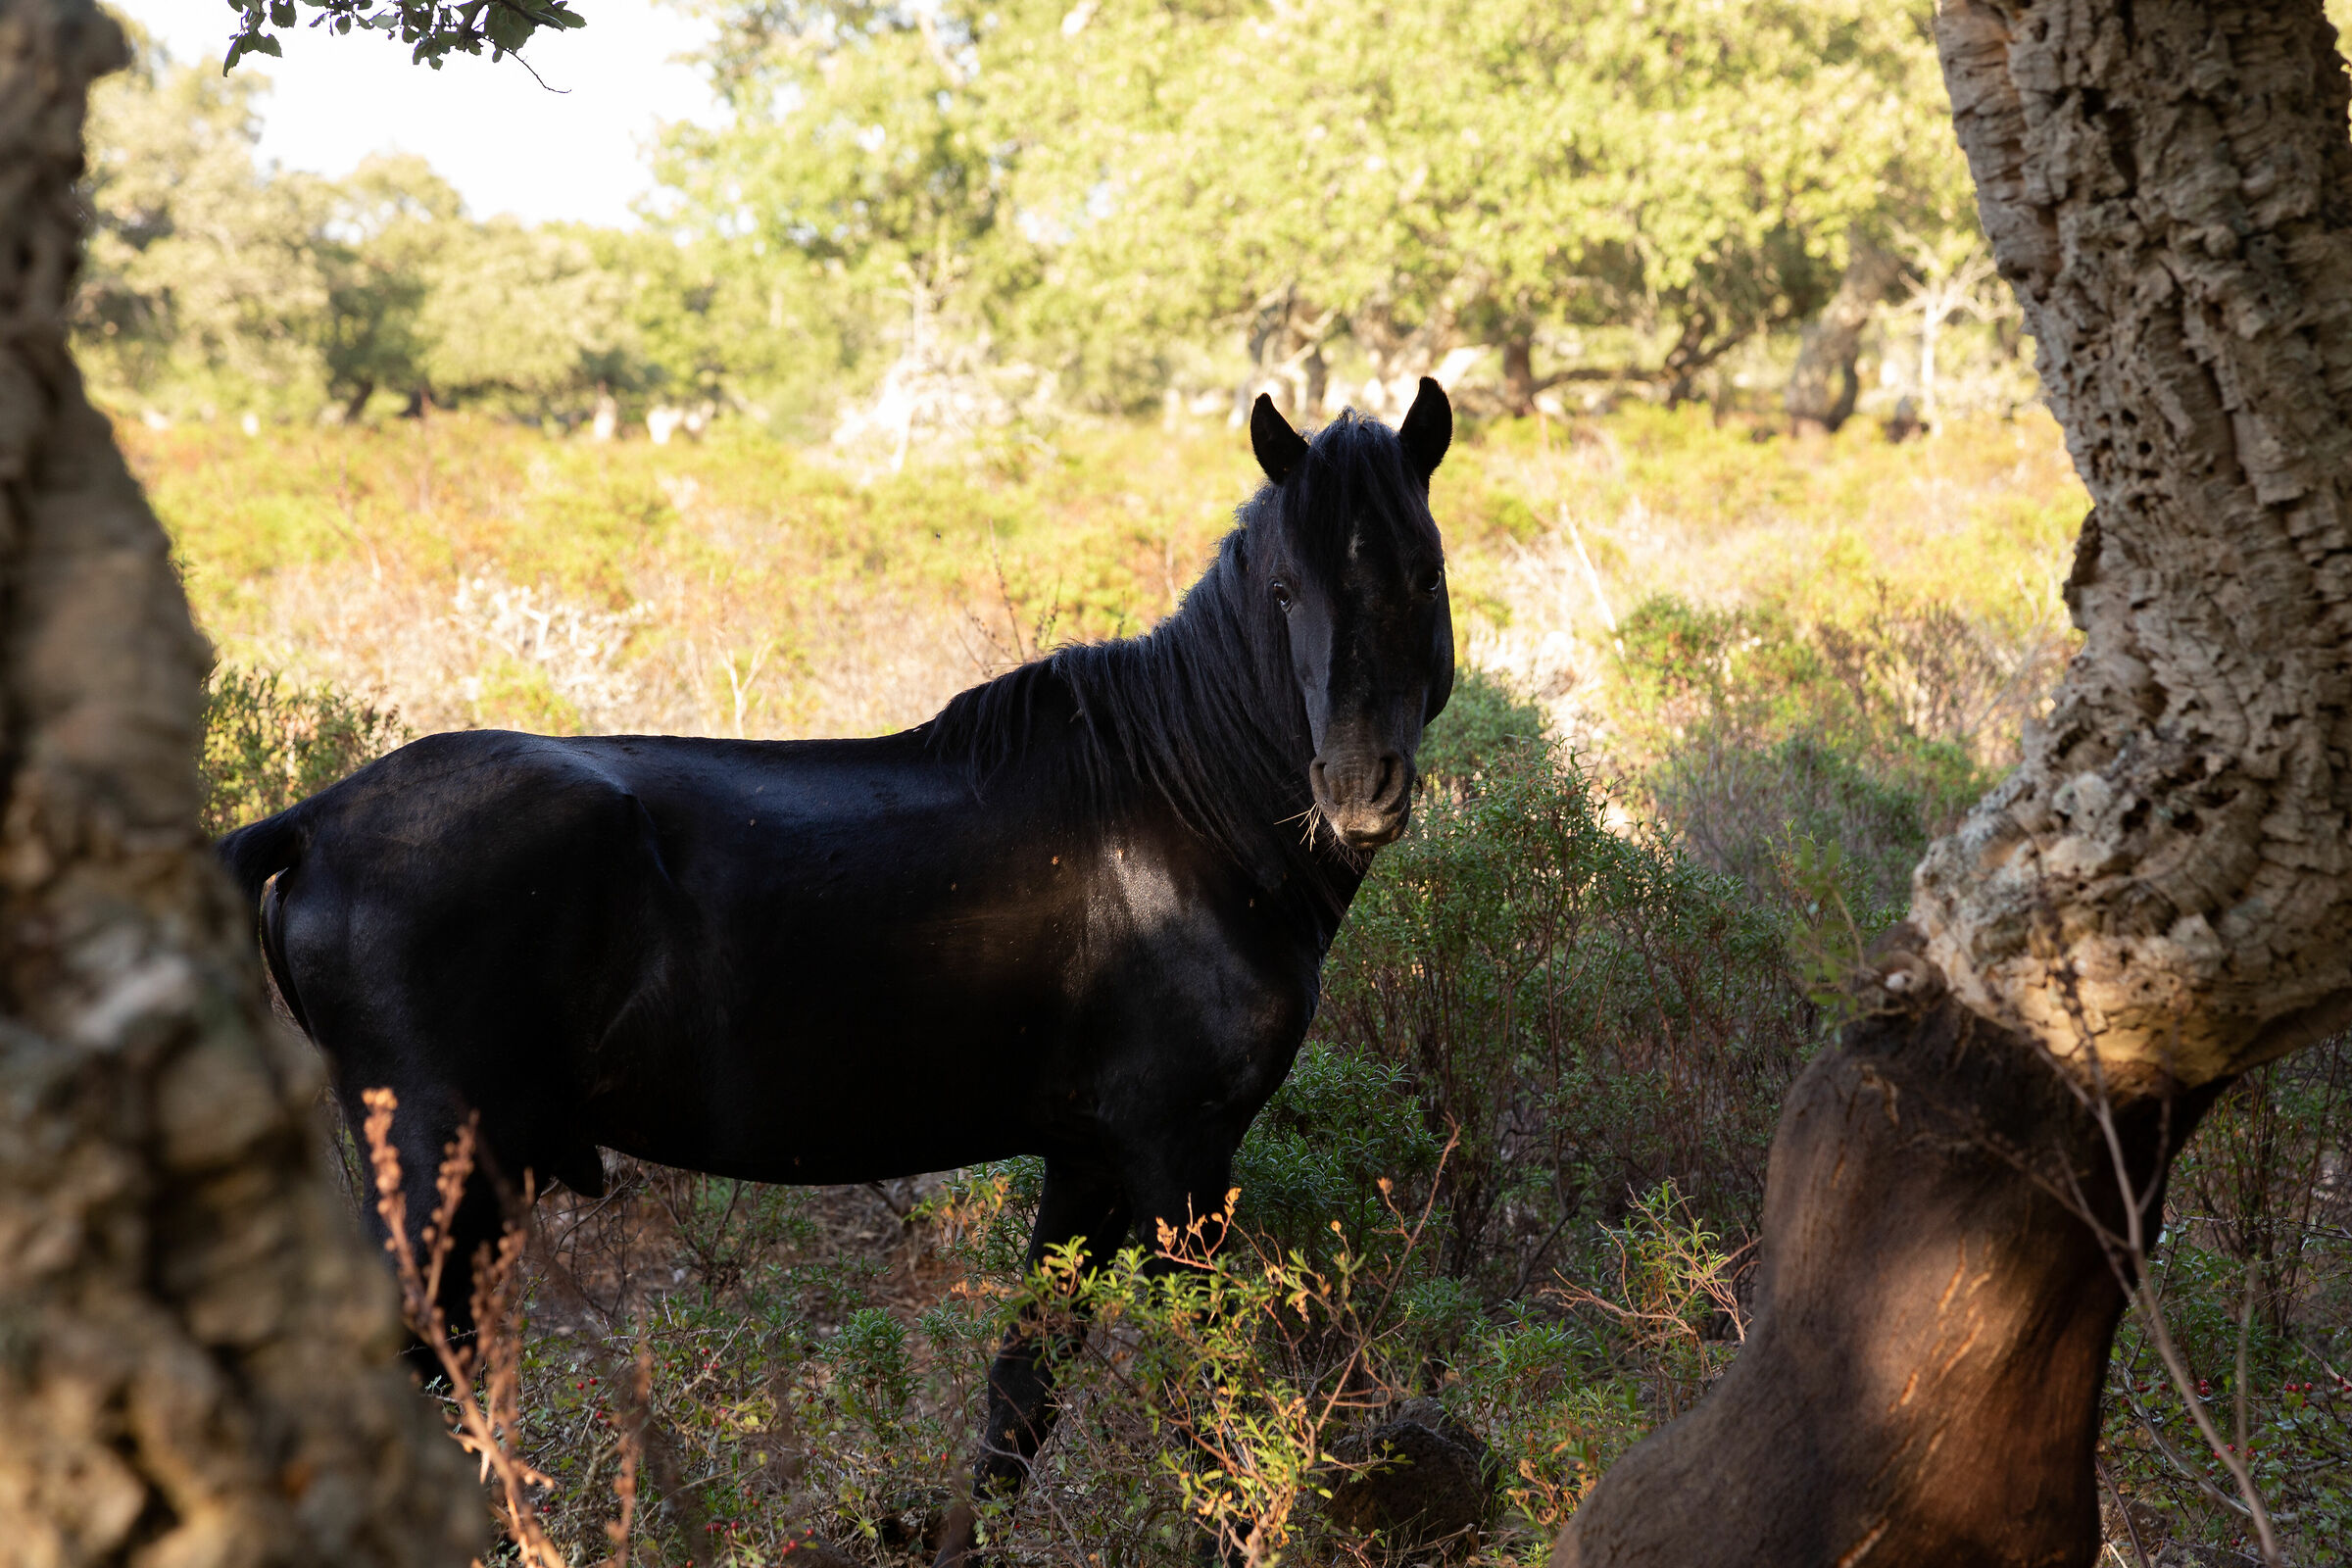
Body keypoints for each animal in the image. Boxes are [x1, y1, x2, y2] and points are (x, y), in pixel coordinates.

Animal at [217, 380, 1455, 1560]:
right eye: (1286, 591)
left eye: (1425, 570)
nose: (1359, 788)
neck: (1184, 811)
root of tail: (314, 822)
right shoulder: (1175, 1160)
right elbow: (1203, 1401)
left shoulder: (1091, 1161)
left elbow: (1021, 1400)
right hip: (442, 1177)